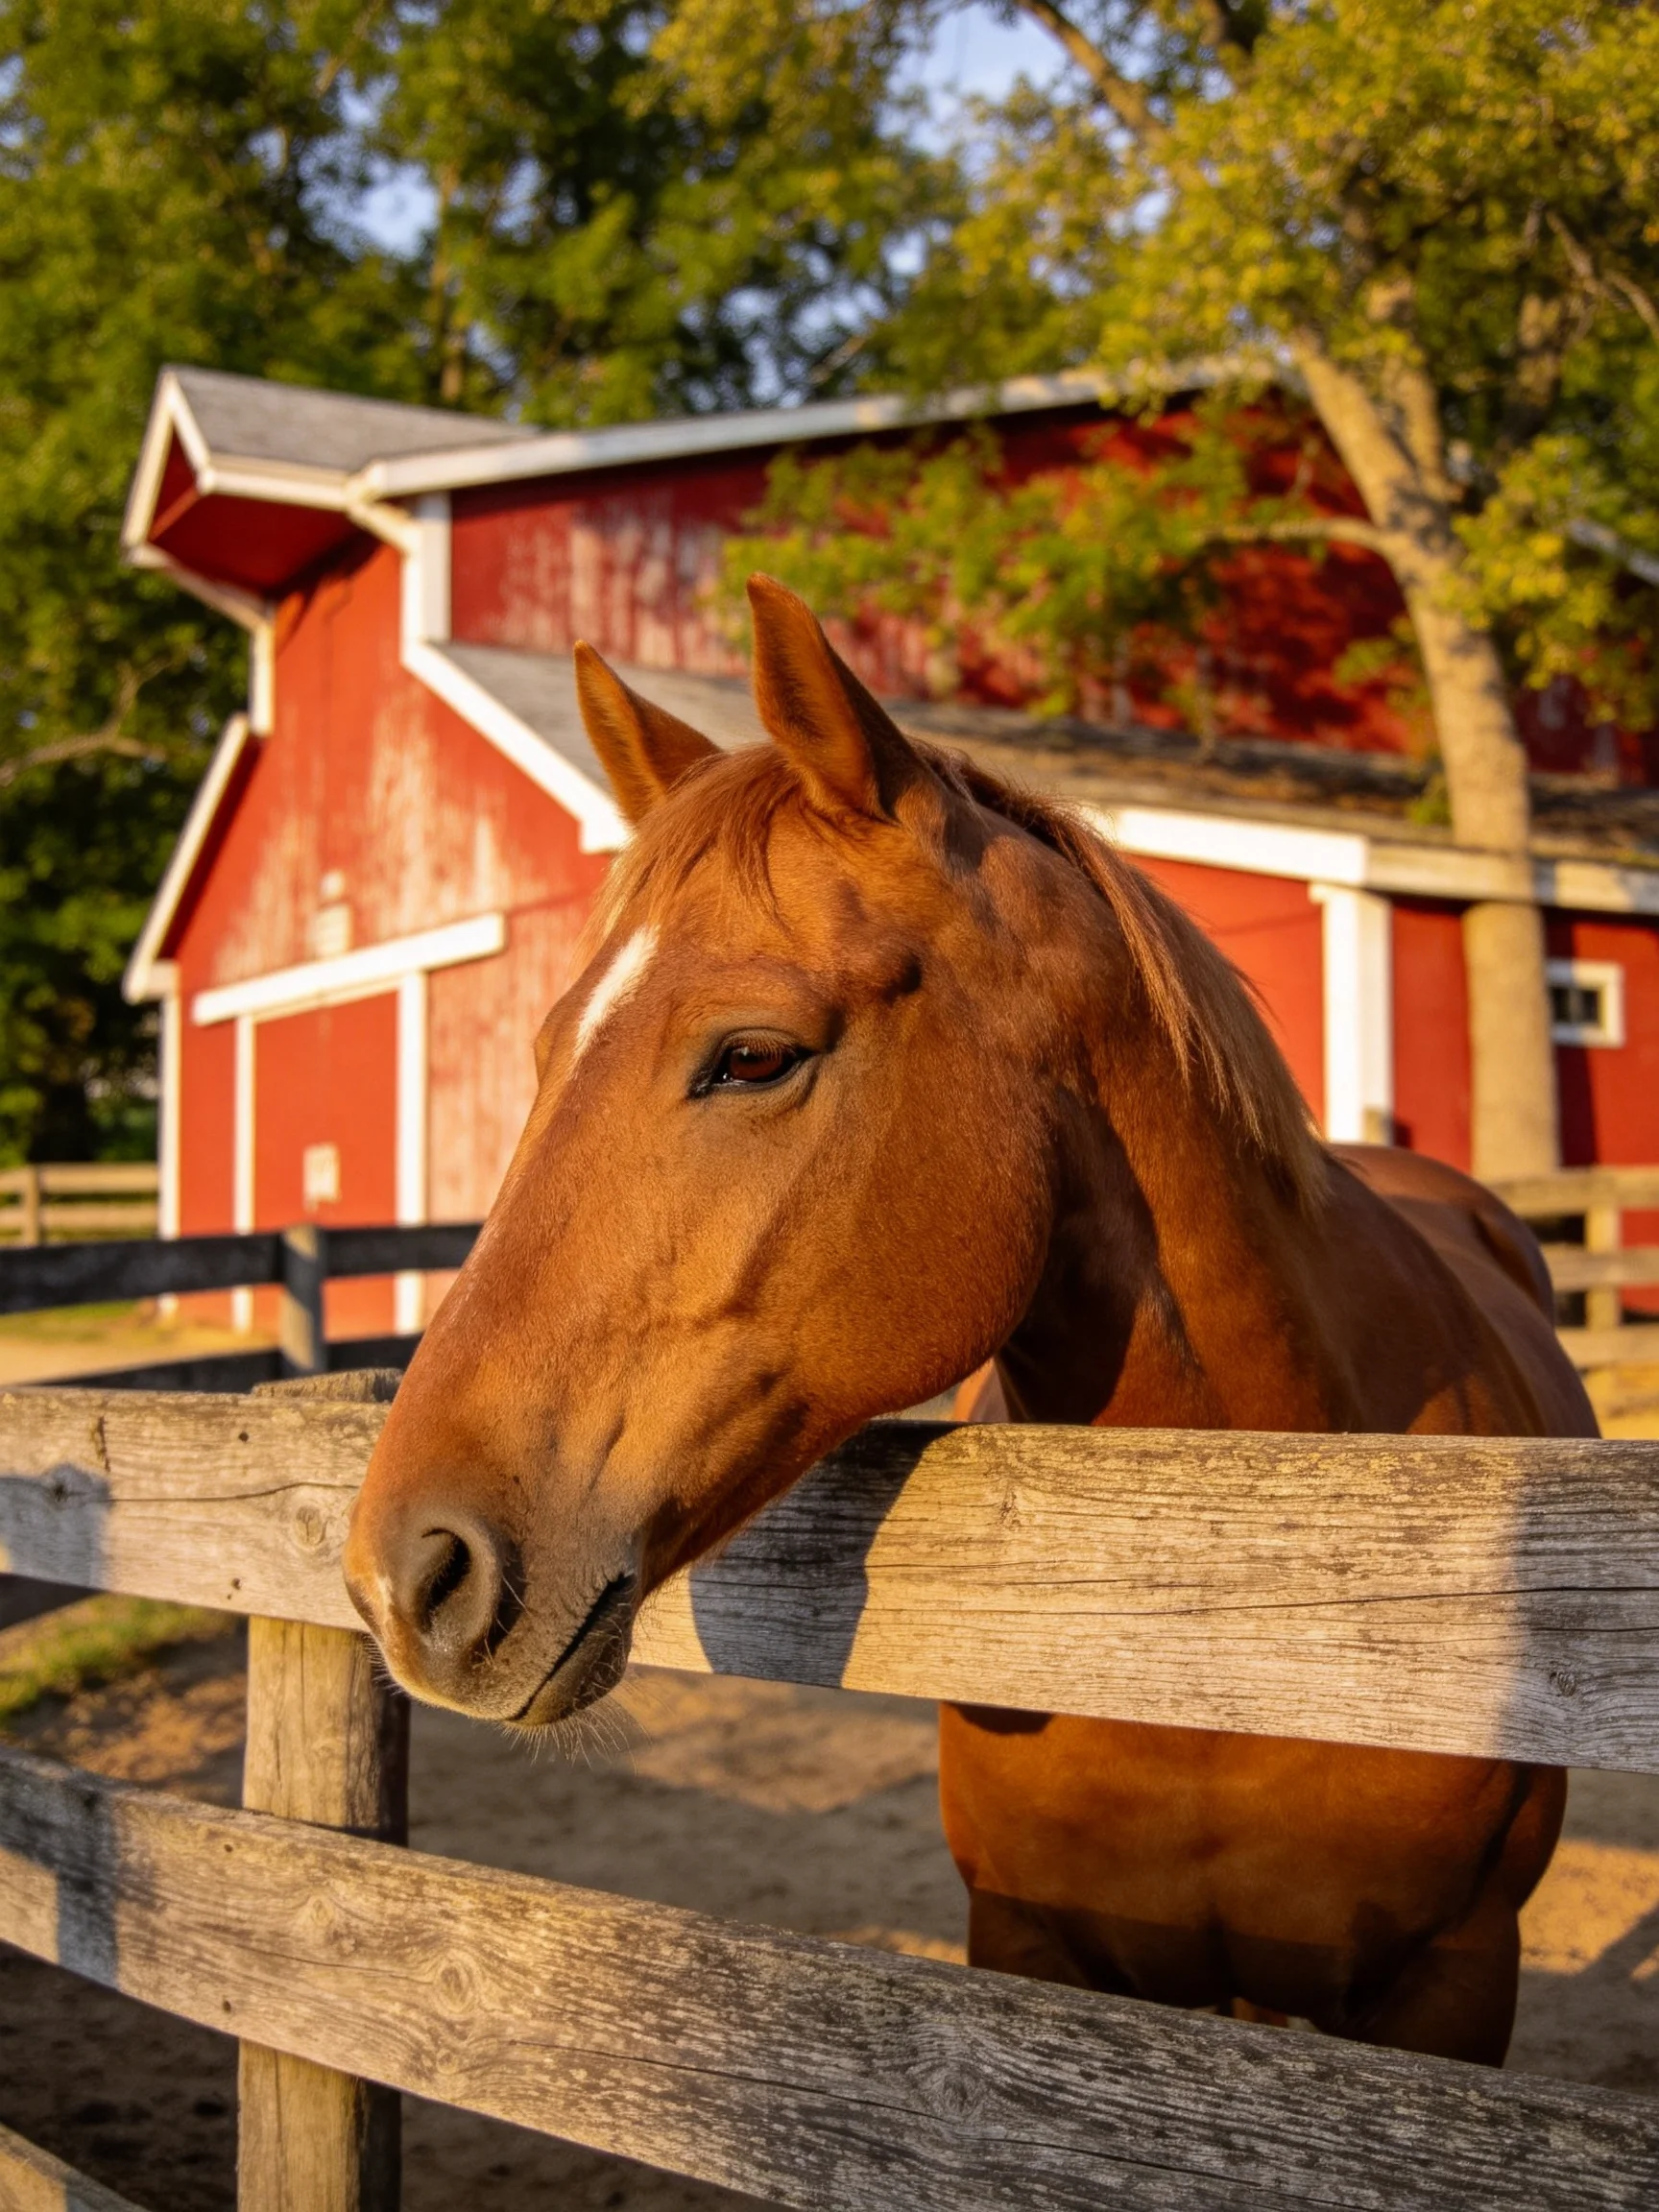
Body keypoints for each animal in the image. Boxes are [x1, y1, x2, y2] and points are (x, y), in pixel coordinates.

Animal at [344, 574, 1596, 2065]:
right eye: (540, 1053)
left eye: (752, 1055)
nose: (405, 1575)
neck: (1231, 1619)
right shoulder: (1029, 1945)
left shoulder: (1450, 1987)